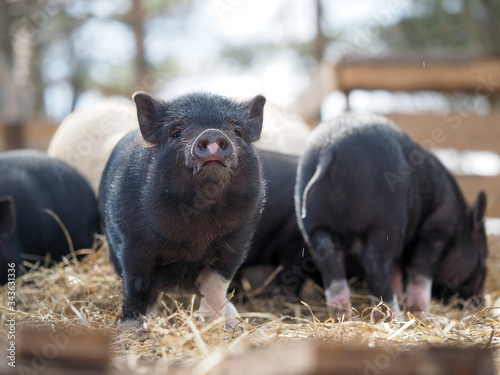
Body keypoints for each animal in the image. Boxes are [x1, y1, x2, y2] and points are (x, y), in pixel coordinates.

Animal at [99, 90, 268, 326]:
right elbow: (137, 287)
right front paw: (130, 326)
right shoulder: (133, 242)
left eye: (237, 131)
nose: (212, 133)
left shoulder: (237, 242)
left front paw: (215, 323)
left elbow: (216, 287)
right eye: (176, 132)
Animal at [296, 114, 488, 320]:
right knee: (374, 263)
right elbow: (419, 272)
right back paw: (393, 316)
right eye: (484, 255)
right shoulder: (436, 231)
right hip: (385, 221)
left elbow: (396, 273)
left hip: (315, 224)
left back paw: (343, 316)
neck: (460, 227)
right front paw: (419, 311)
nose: (481, 303)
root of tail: (330, 150)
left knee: (331, 260)